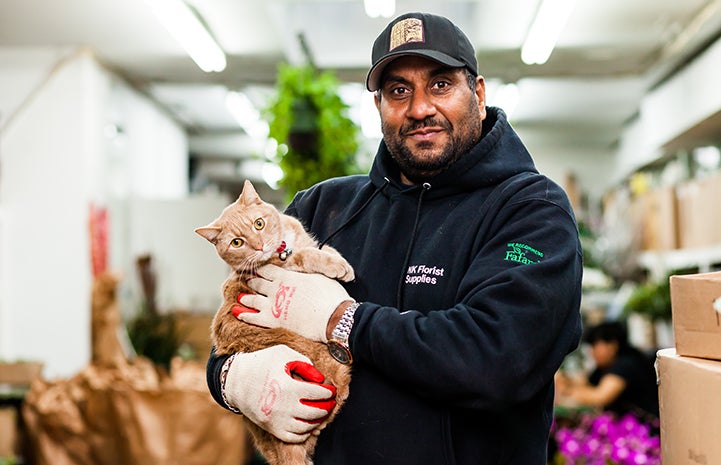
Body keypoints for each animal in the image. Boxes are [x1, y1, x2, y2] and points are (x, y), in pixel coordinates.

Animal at [194, 179, 352, 464]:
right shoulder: (287, 266)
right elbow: (309, 256)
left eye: (259, 223)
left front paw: (336, 258)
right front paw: (336, 265)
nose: (259, 246)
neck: (284, 248)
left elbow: (320, 247)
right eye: (237, 242)